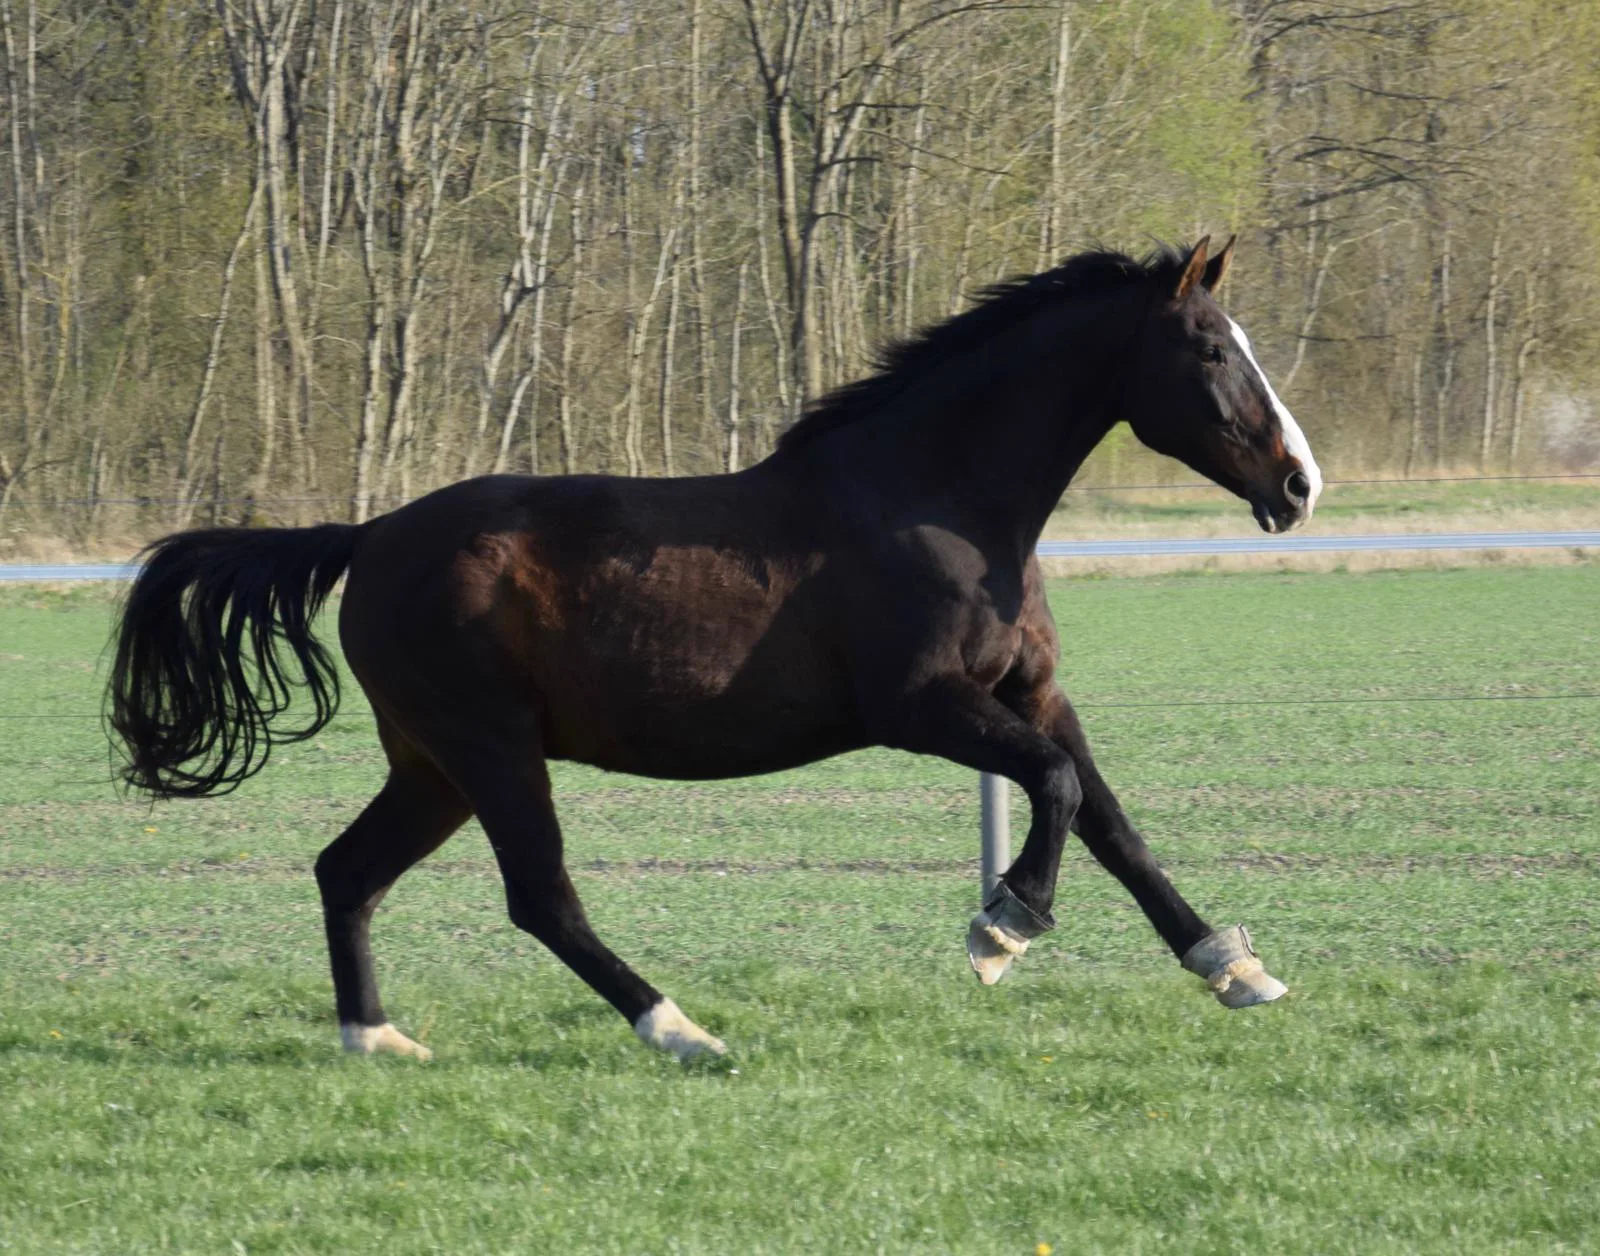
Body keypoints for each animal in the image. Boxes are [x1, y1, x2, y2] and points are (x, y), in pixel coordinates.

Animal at [108, 237, 1321, 1062]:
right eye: (1212, 348)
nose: (1300, 484)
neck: (938, 498)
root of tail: (367, 537)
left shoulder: (1032, 690)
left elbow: (1112, 820)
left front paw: (1232, 967)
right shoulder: (921, 708)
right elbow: (1060, 789)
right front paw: (1001, 928)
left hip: (432, 765)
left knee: (347, 871)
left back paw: (377, 1039)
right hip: (491, 747)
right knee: (540, 897)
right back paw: (680, 1029)